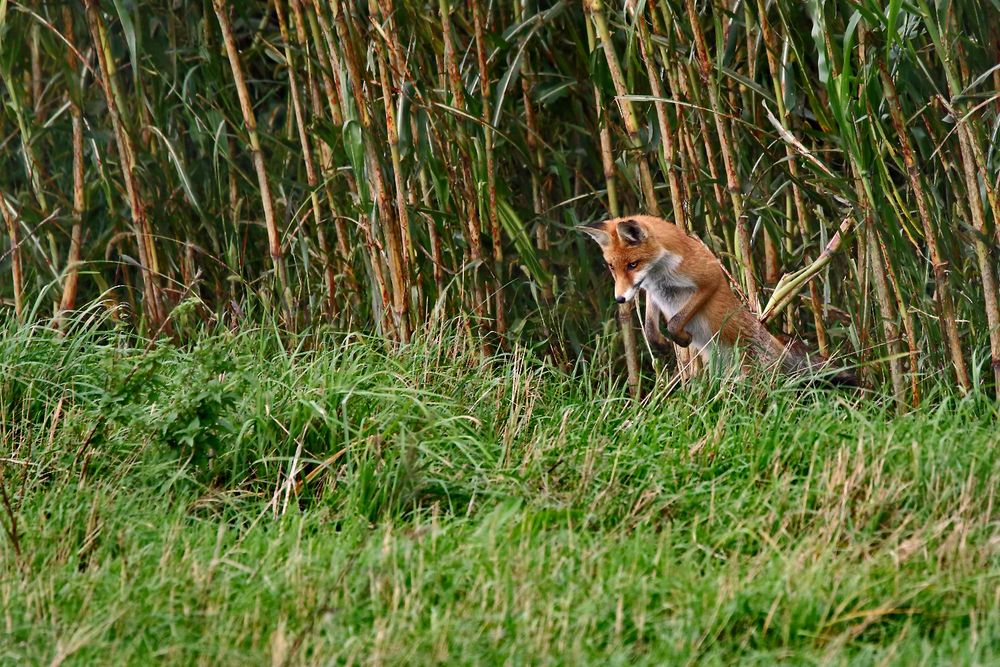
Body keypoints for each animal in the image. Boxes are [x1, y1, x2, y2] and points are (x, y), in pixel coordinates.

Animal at [584, 217, 856, 384]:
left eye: (633, 264)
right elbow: (651, 327)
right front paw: (660, 343)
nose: (620, 298)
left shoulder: (711, 278)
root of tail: (781, 350)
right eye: (612, 267)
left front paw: (682, 338)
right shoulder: (651, 291)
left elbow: (674, 321)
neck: (660, 275)